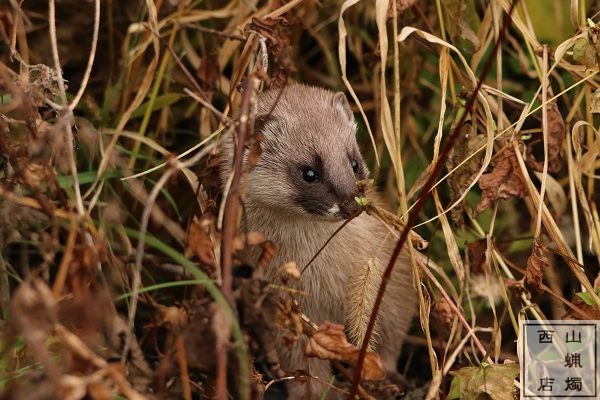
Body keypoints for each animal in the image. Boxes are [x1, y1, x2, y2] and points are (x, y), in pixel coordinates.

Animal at [220, 83, 418, 396]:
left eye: (354, 162)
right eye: (309, 172)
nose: (351, 204)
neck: (326, 282)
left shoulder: (394, 285)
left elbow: (389, 338)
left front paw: (387, 378)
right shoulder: (288, 313)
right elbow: (304, 366)